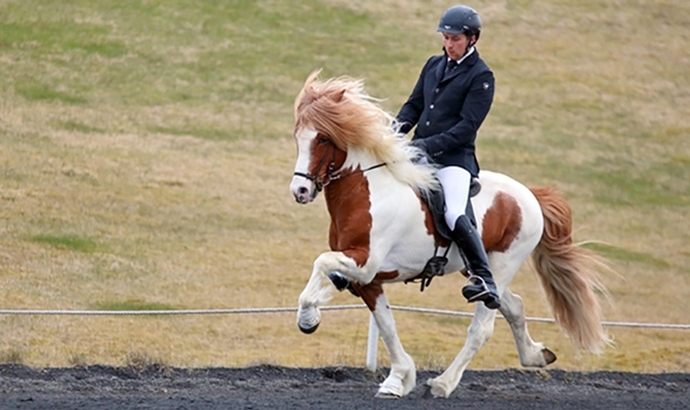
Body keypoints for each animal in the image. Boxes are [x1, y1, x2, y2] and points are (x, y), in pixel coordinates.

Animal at [286, 72, 608, 398]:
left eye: (322, 138)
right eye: (298, 137)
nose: (300, 191)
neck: (369, 190)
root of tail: (529, 193)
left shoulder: (365, 264)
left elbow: (321, 262)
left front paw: (308, 319)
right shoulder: (368, 280)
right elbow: (386, 324)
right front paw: (398, 379)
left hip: (505, 263)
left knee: (482, 327)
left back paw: (443, 383)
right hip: (481, 269)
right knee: (512, 305)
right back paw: (536, 355)